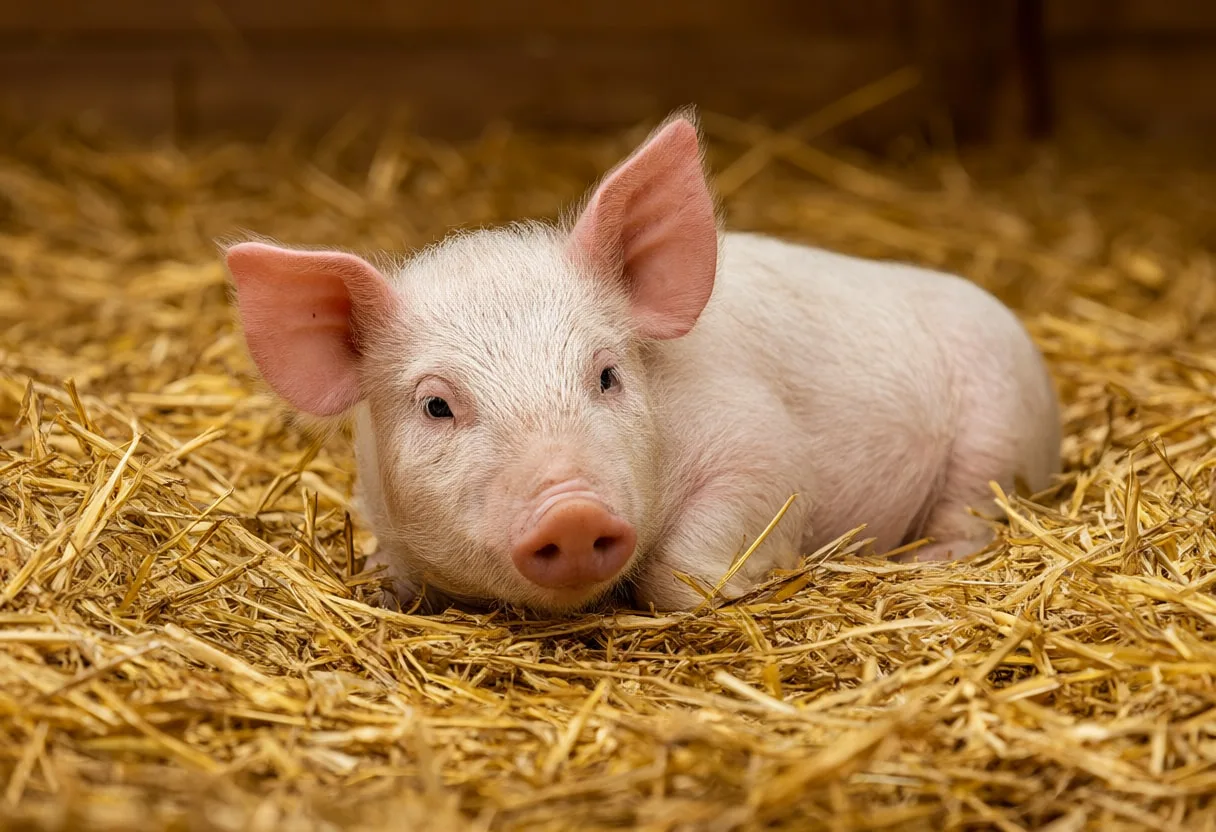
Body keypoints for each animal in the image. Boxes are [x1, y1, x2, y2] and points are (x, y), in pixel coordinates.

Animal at [223, 109, 1061, 615]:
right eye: (436, 404)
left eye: (607, 375)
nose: (572, 510)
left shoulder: (763, 448)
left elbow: (686, 569)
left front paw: (751, 578)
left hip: (999, 427)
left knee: (977, 507)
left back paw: (930, 558)